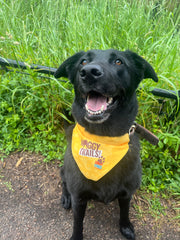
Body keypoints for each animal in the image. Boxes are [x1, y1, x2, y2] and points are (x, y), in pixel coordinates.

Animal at [54, 49, 158, 240]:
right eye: (83, 61)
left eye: (118, 61)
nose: (89, 72)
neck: (103, 139)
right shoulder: (79, 198)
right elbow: (77, 223)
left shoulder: (126, 194)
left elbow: (125, 212)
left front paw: (125, 226)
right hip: (65, 171)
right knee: (64, 182)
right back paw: (65, 197)